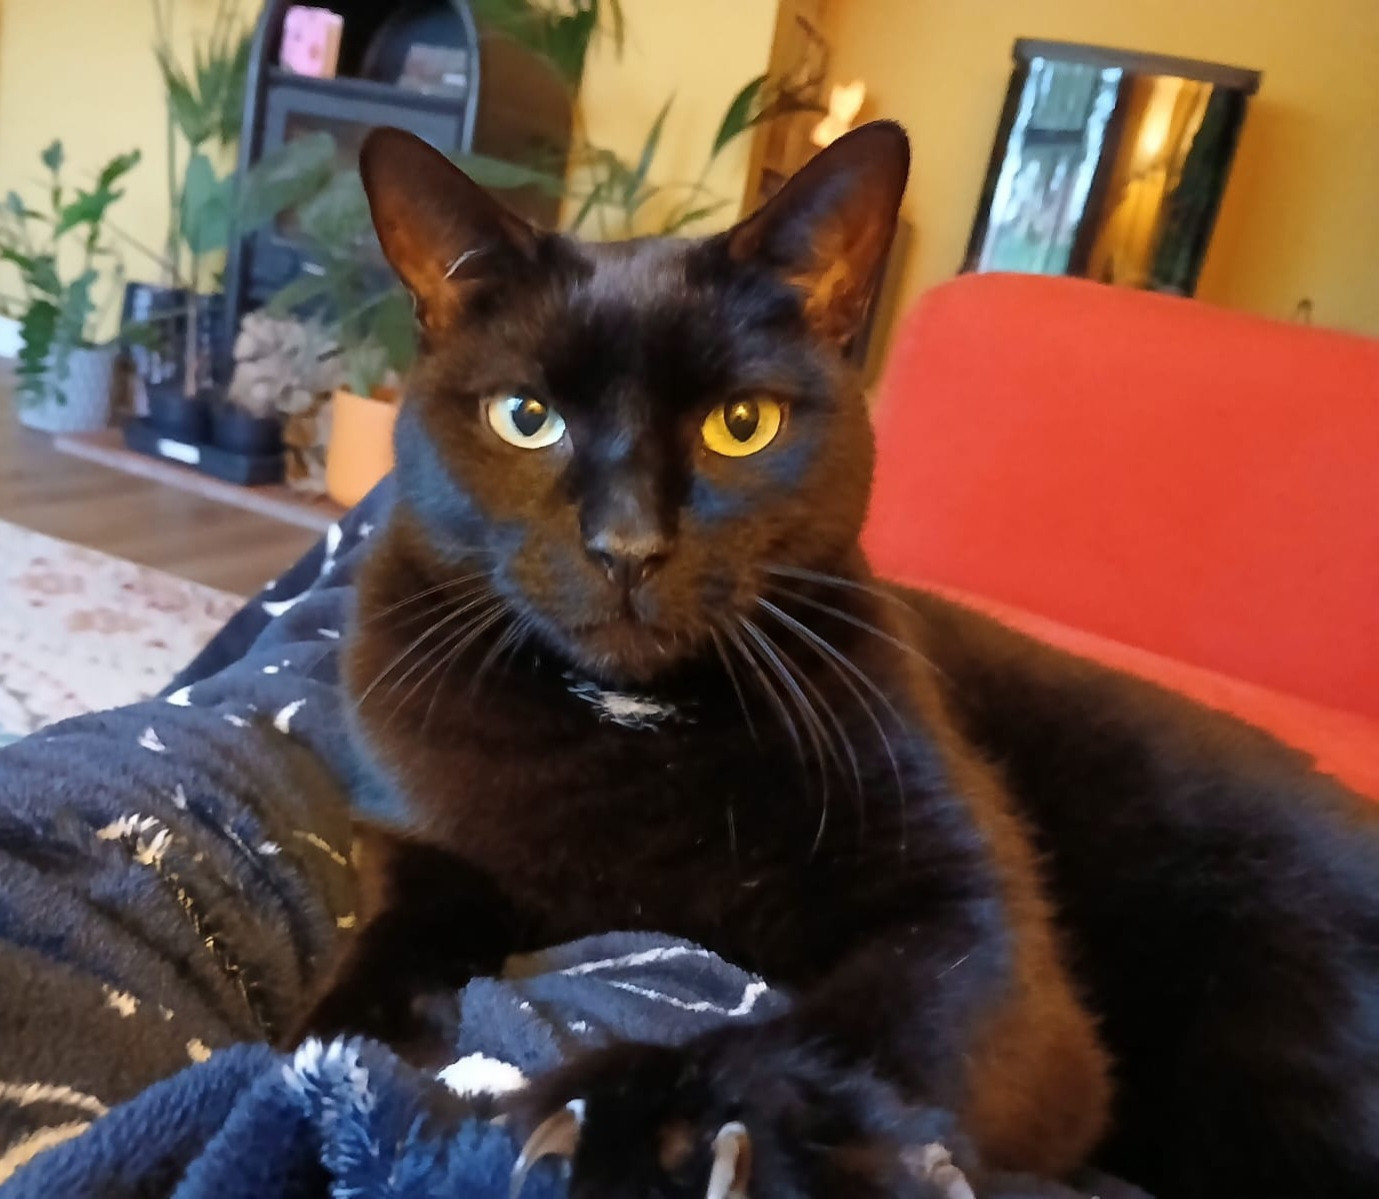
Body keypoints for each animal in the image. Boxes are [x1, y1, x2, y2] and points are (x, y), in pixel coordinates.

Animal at [299, 124, 1379, 1197]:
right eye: (526, 417)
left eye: (741, 425)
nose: (628, 544)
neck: (628, 719)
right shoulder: (410, 831)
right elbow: (390, 942)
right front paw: (343, 1053)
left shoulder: (981, 938)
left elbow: (837, 1030)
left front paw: (646, 1122)